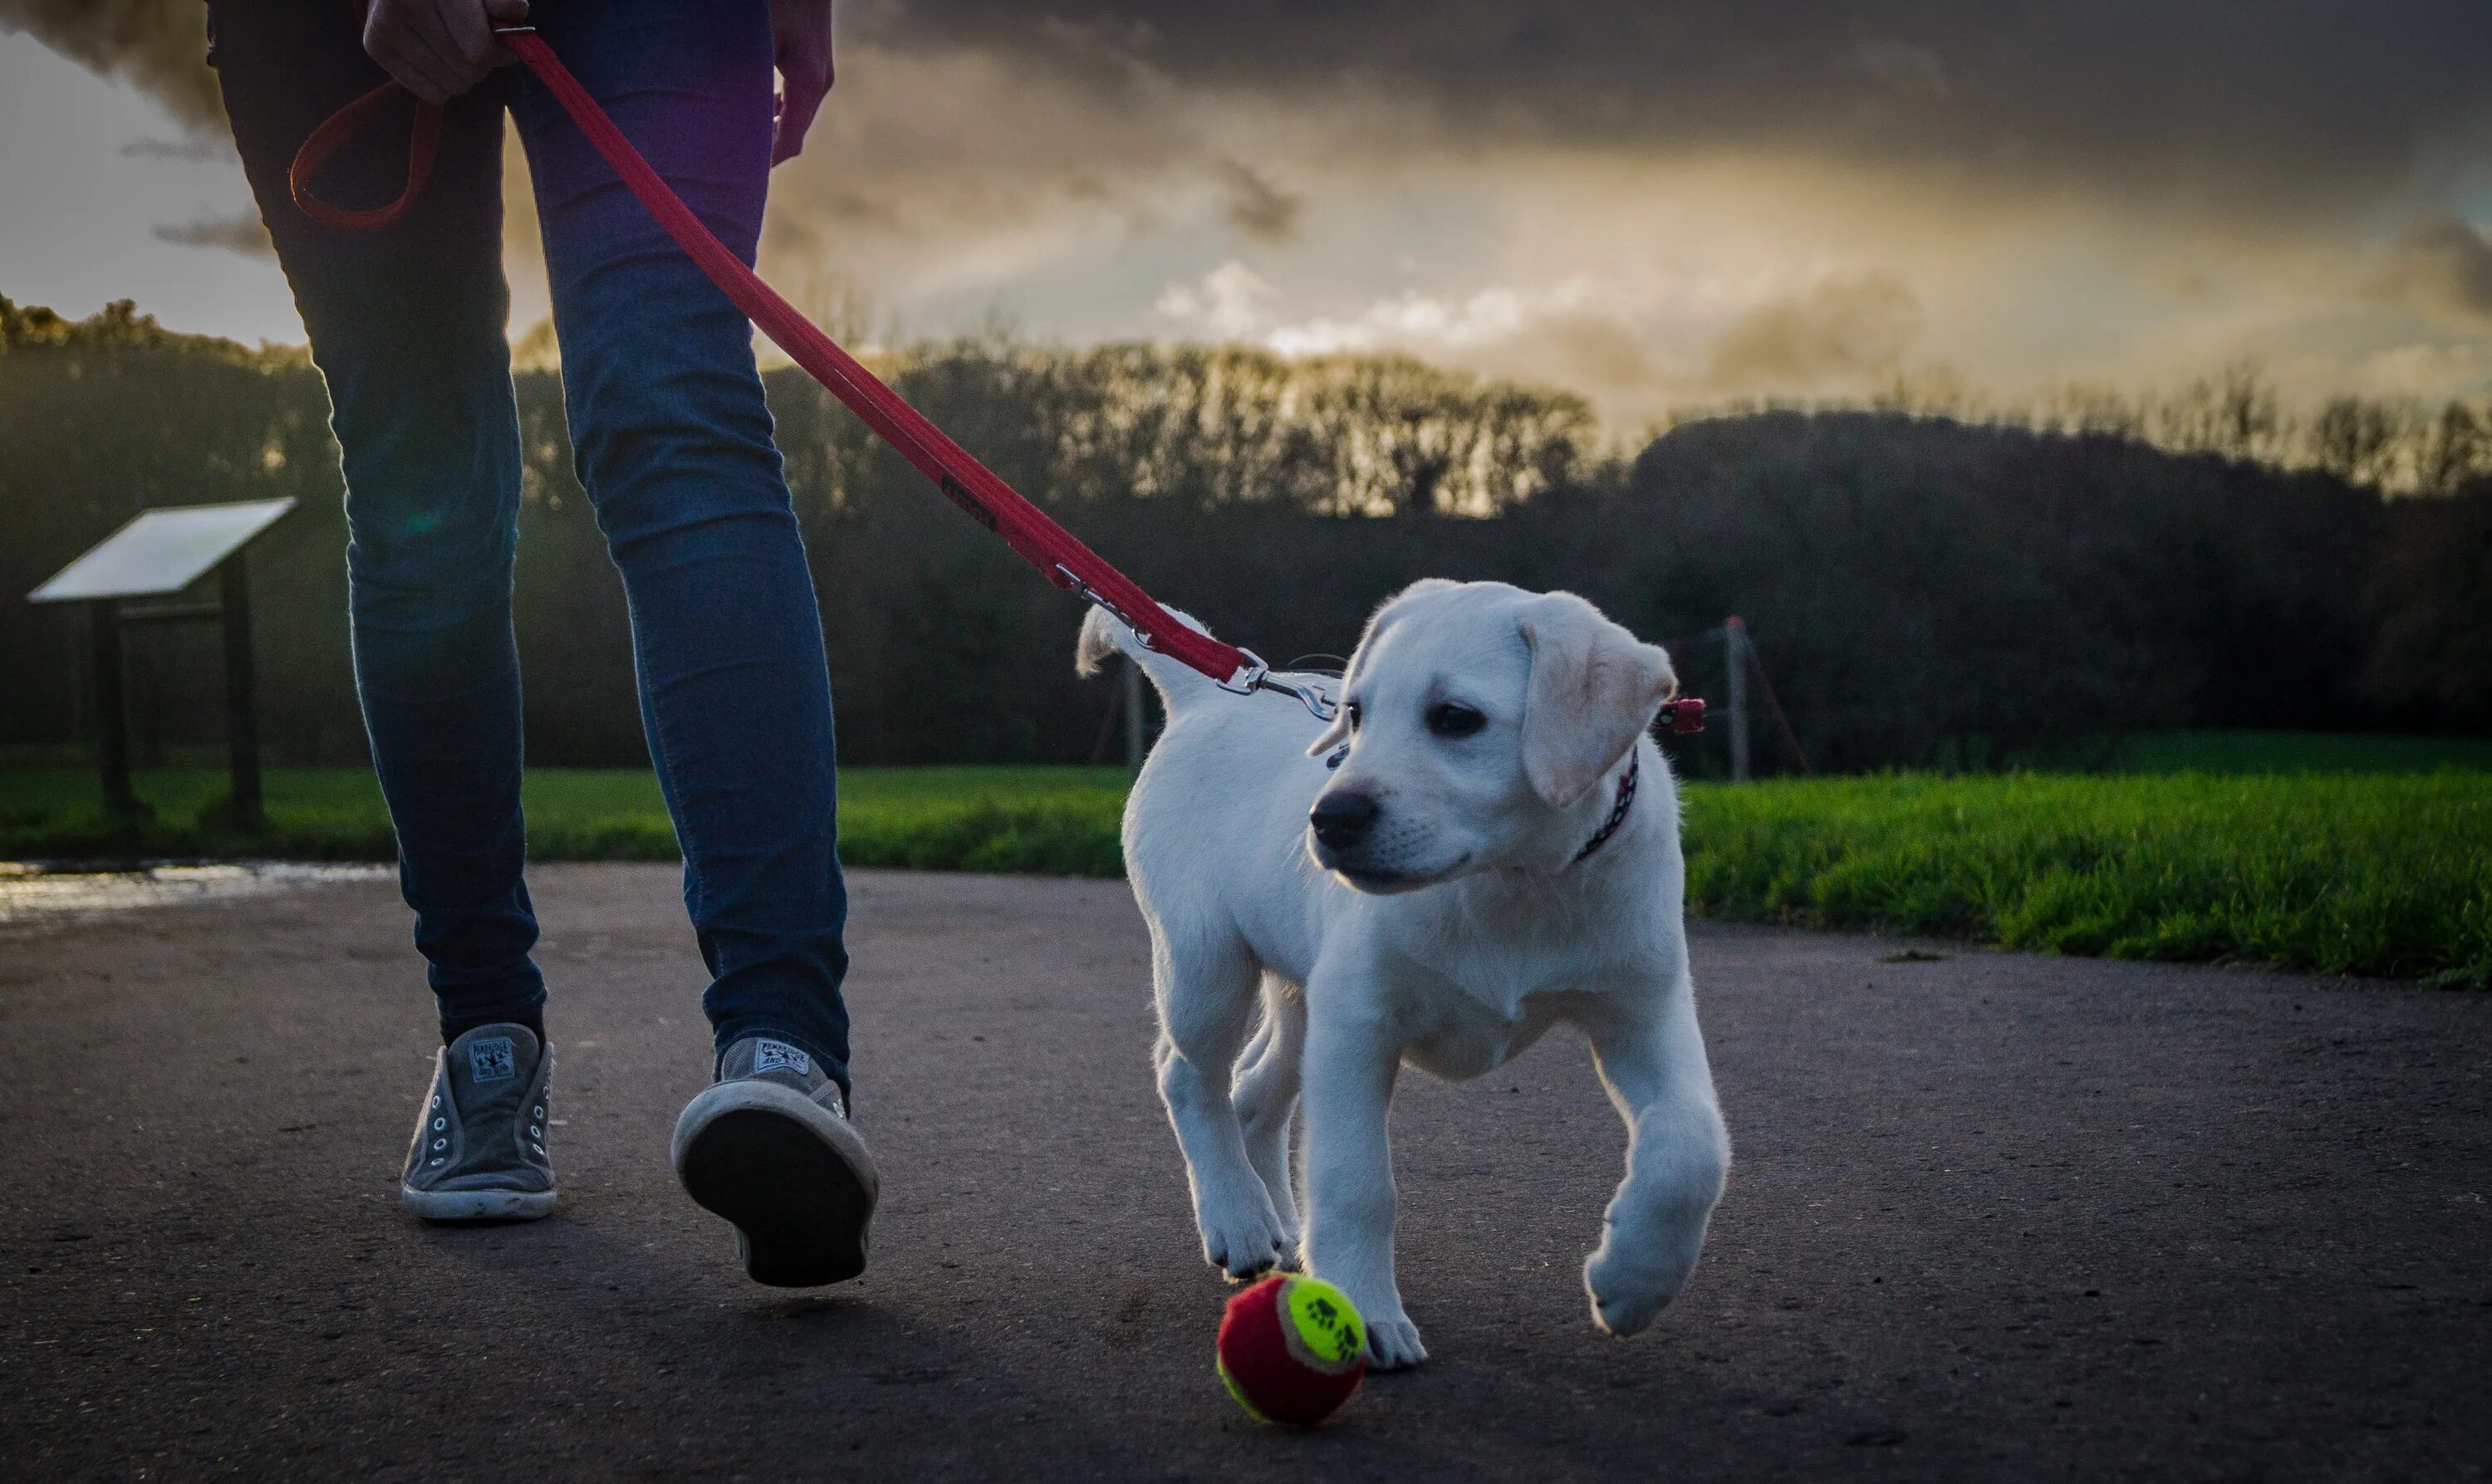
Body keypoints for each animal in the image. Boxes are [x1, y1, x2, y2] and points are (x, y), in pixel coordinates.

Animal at [1082, 580, 1724, 1364]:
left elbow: (1694, 1146)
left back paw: (1280, 1230)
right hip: (1208, 965)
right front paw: (1364, 1309)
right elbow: (1356, 1180)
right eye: (1356, 713)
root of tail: (1205, 699)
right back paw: (1237, 1219)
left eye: (1456, 718)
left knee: (1253, 1091)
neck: (1512, 883)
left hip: (1302, 995)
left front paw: (1632, 1282)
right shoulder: (1359, 1022)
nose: (1328, 819)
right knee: (1188, 1077)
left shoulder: (1644, 1013)